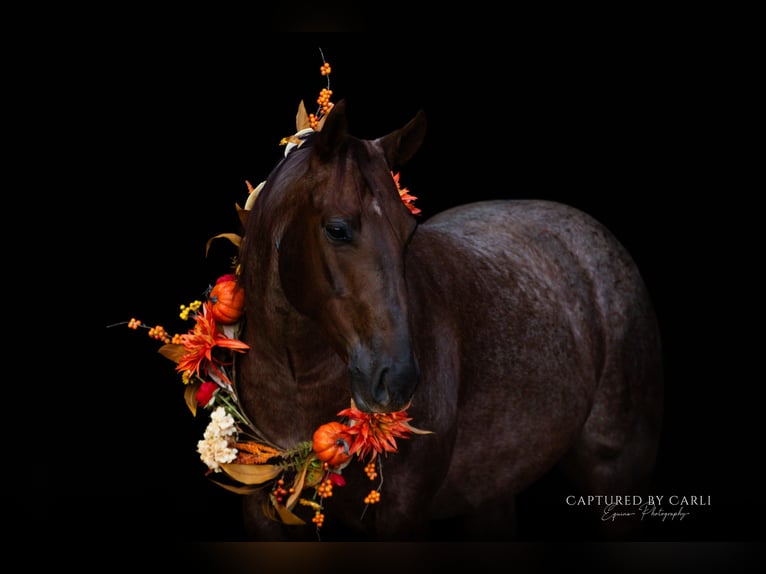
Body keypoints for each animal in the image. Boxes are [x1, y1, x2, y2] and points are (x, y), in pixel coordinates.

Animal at [234, 99, 663, 541]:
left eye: (408, 231)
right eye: (337, 229)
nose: (398, 379)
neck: (297, 381)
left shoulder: (402, 512)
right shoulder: (261, 514)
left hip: (617, 472)